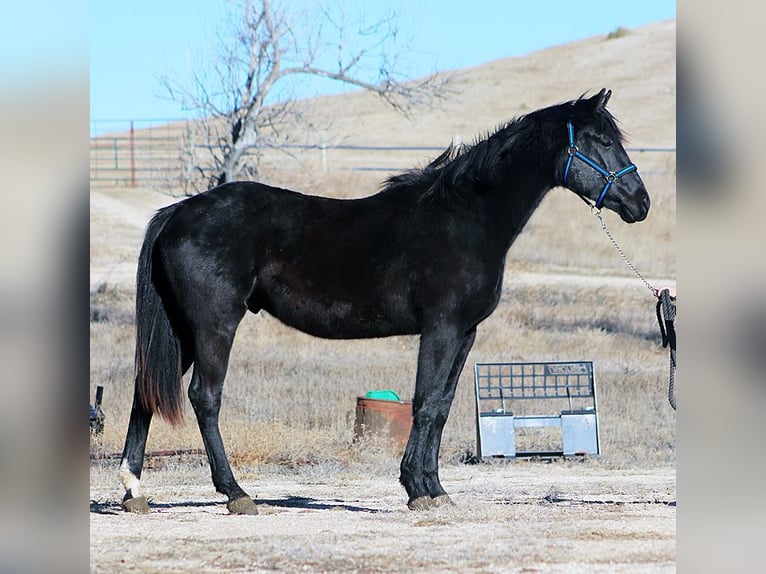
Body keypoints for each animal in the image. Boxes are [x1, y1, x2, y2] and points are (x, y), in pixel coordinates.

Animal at [119, 88, 650, 514]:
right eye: (600, 141)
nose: (640, 202)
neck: (464, 218)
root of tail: (177, 212)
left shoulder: (465, 333)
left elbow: (442, 405)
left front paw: (434, 488)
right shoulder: (441, 328)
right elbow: (426, 404)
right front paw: (418, 489)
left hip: (182, 330)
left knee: (146, 391)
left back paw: (133, 490)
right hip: (213, 327)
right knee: (204, 398)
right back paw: (236, 493)